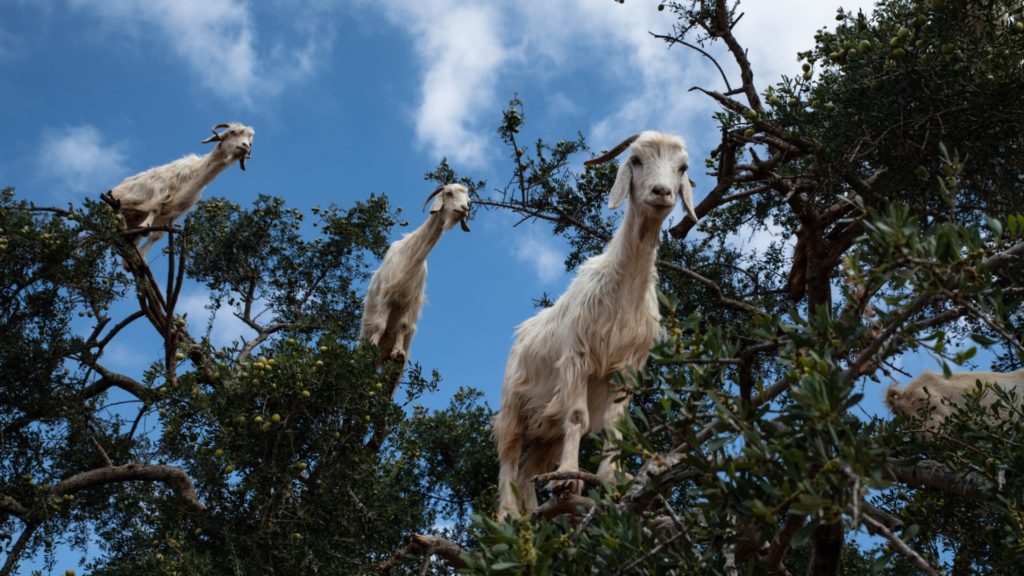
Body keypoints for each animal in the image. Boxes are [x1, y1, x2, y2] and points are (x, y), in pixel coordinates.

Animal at [100, 123, 253, 264]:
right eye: (233, 132)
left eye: (250, 141)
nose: (245, 147)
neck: (194, 175)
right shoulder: (161, 191)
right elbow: (154, 209)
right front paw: (145, 226)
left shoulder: (174, 213)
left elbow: (157, 235)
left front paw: (140, 257)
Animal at [360, 184, 471, 373]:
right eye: (449, 193)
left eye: (469, 201)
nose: (464, 209)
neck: (411, 255)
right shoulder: (386, 295)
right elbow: (380, 325)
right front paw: (372, 345)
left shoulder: (409, 301)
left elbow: (403, 326)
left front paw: (398, 352)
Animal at [493, 131, 696, 516]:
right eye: (636, 160)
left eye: (682, 168)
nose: (662, 192)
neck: (623, 292)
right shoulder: (577, 358)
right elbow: (578, 417)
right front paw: (569, 478)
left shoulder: (627, 367)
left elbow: (615, 426)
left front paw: (611, 479)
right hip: (514, 406)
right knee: (508, 461)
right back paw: (508, 516)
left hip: (547, 430)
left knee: (528, 470)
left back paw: (533, 517)